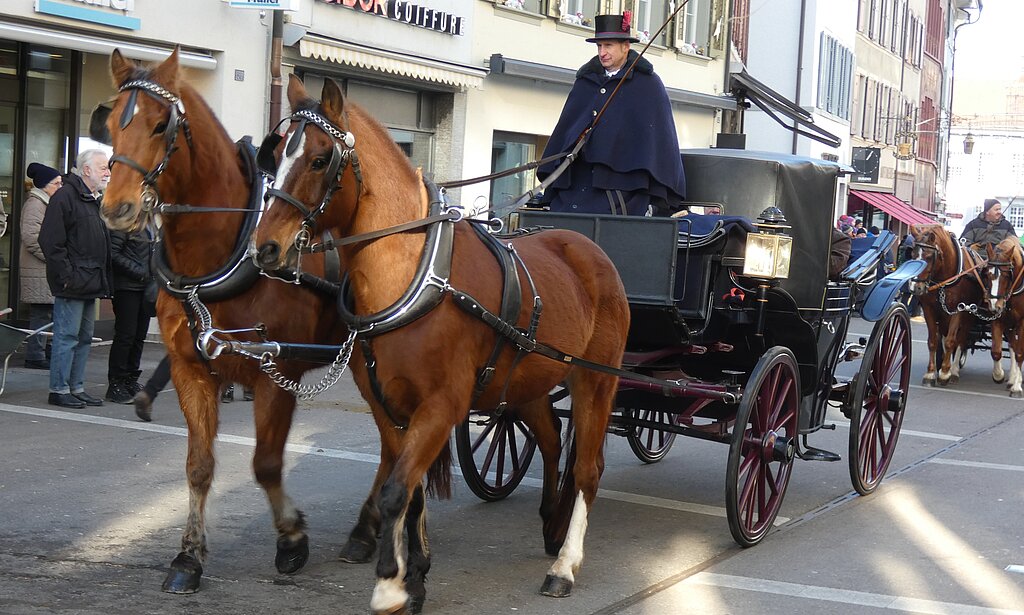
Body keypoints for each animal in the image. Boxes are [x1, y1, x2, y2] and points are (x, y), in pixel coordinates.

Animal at [99, 48, 382, 593]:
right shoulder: (191, 369)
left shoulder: (277, 374)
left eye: (161, 124)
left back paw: (369, 527)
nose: (116, 208)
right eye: (108, 123)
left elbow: (266, 463)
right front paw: (188, 556)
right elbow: (198, 466)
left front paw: (291, 540)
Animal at [251, 76, 626, 613]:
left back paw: (565, 563)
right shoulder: (389, 406)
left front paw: (390, 584)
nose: (265, 248)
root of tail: (590, 249)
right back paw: (552, 523)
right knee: (554, 440)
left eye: (321, 159)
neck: (414, 273)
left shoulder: (442, 405)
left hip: (595, 381)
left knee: (588, 469)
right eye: (277, 151)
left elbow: (395, 489)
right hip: (527, 384)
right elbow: (410, 489)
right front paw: (416, 574)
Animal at [909, 223, 987, 386]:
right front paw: (931, 373)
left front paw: (945, 373)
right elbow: (933, 341)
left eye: (929, 257)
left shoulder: (959, 310)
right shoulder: (929, 310)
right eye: (912, 254)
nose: (915, 288)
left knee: (961, 339)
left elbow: (952, 341)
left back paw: (954, 370)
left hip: (968, 316)